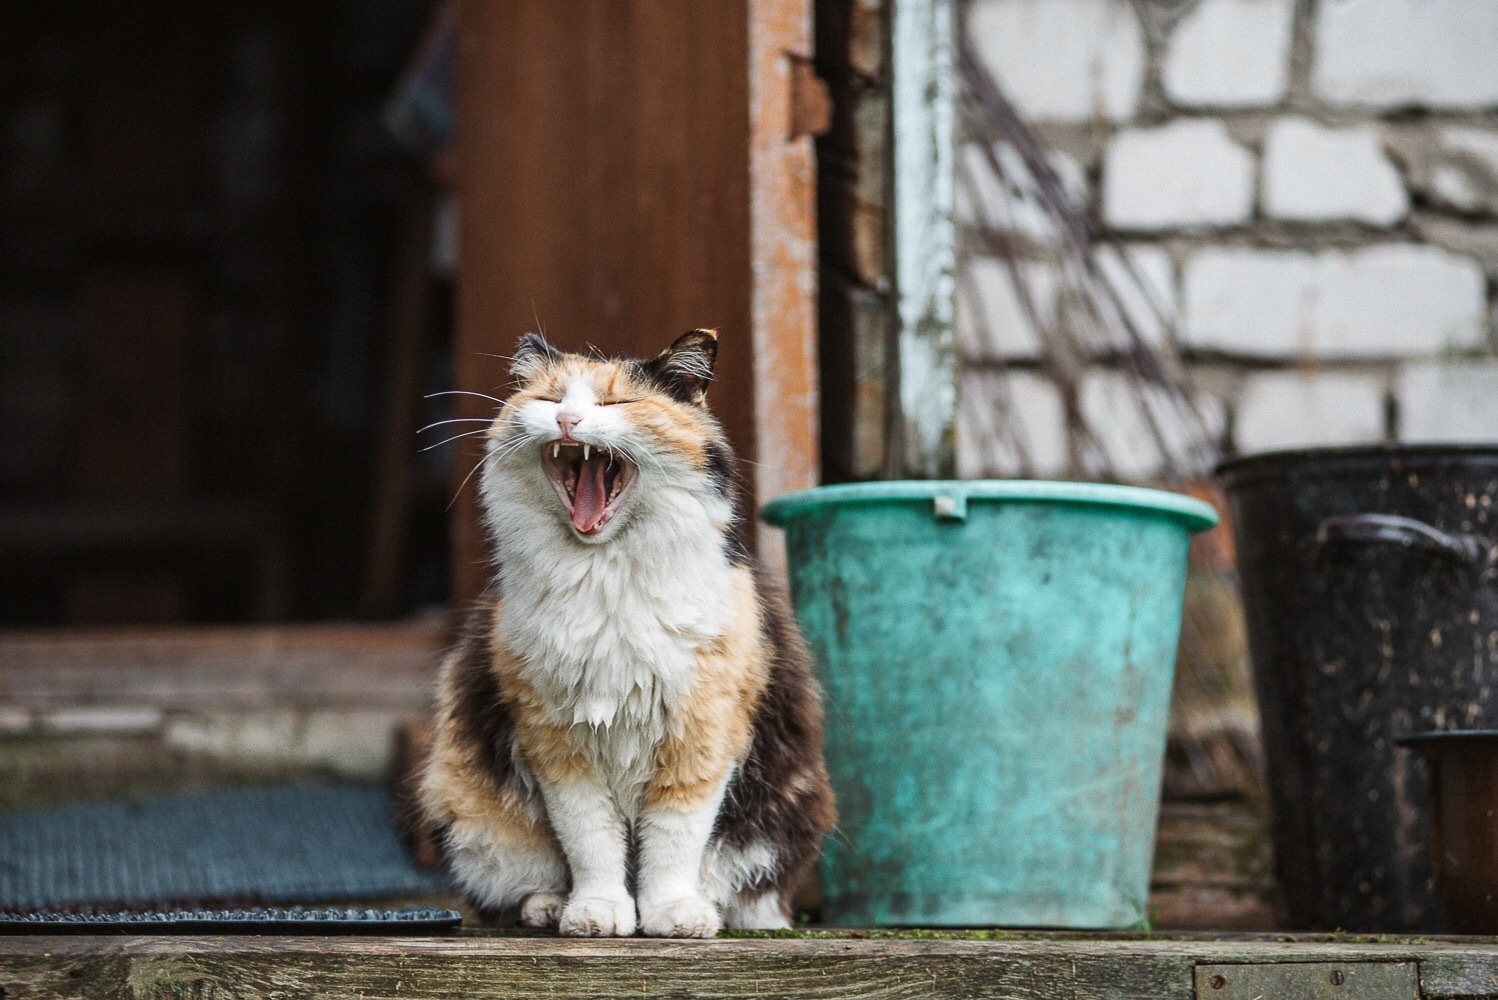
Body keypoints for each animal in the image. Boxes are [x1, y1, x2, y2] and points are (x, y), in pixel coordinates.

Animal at [419, 327, 832, 940]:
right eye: (550, 398)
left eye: (617, 403)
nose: (567, 420)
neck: (604, 575)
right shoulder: (556, 740)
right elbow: (590, 837)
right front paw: (597, 913)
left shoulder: (702, 731)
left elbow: (674, 838)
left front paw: (672, 915)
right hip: (469, 805)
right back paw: (549, 907)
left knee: (750, 887)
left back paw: (724, 913)